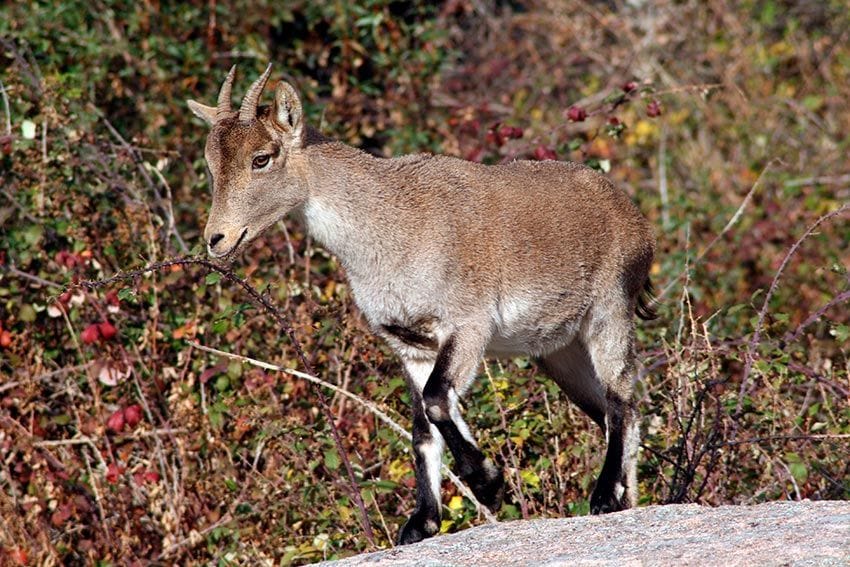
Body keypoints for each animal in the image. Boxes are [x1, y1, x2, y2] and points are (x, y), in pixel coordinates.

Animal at [189, 63, 656, 544]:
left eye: (261, 158)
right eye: (210, 164)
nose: (217, 239)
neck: (389, 224)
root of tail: (632, 215)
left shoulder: (467, 325)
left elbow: (435, 400)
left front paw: (488, 484)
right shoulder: (411, 345)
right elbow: (423, 428)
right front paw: (422, 522)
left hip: (608, 310)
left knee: (620, 399)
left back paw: (604, 496)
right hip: (560, 350)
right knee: (617, 412)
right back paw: (627, 500)